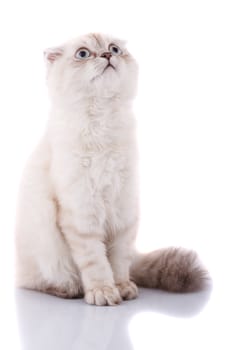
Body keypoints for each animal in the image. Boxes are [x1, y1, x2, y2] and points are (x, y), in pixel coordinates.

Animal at [14, 33, 208, 306]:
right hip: (44, 250)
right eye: (83, 54)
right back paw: (69, 289)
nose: (107, 56)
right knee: (40, 281)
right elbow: (96, 263)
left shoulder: (123, 211)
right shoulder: (82, 213)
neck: (102, 121)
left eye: (114, 49)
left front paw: (123, 288)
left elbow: (118, 262)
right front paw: (103, 292)